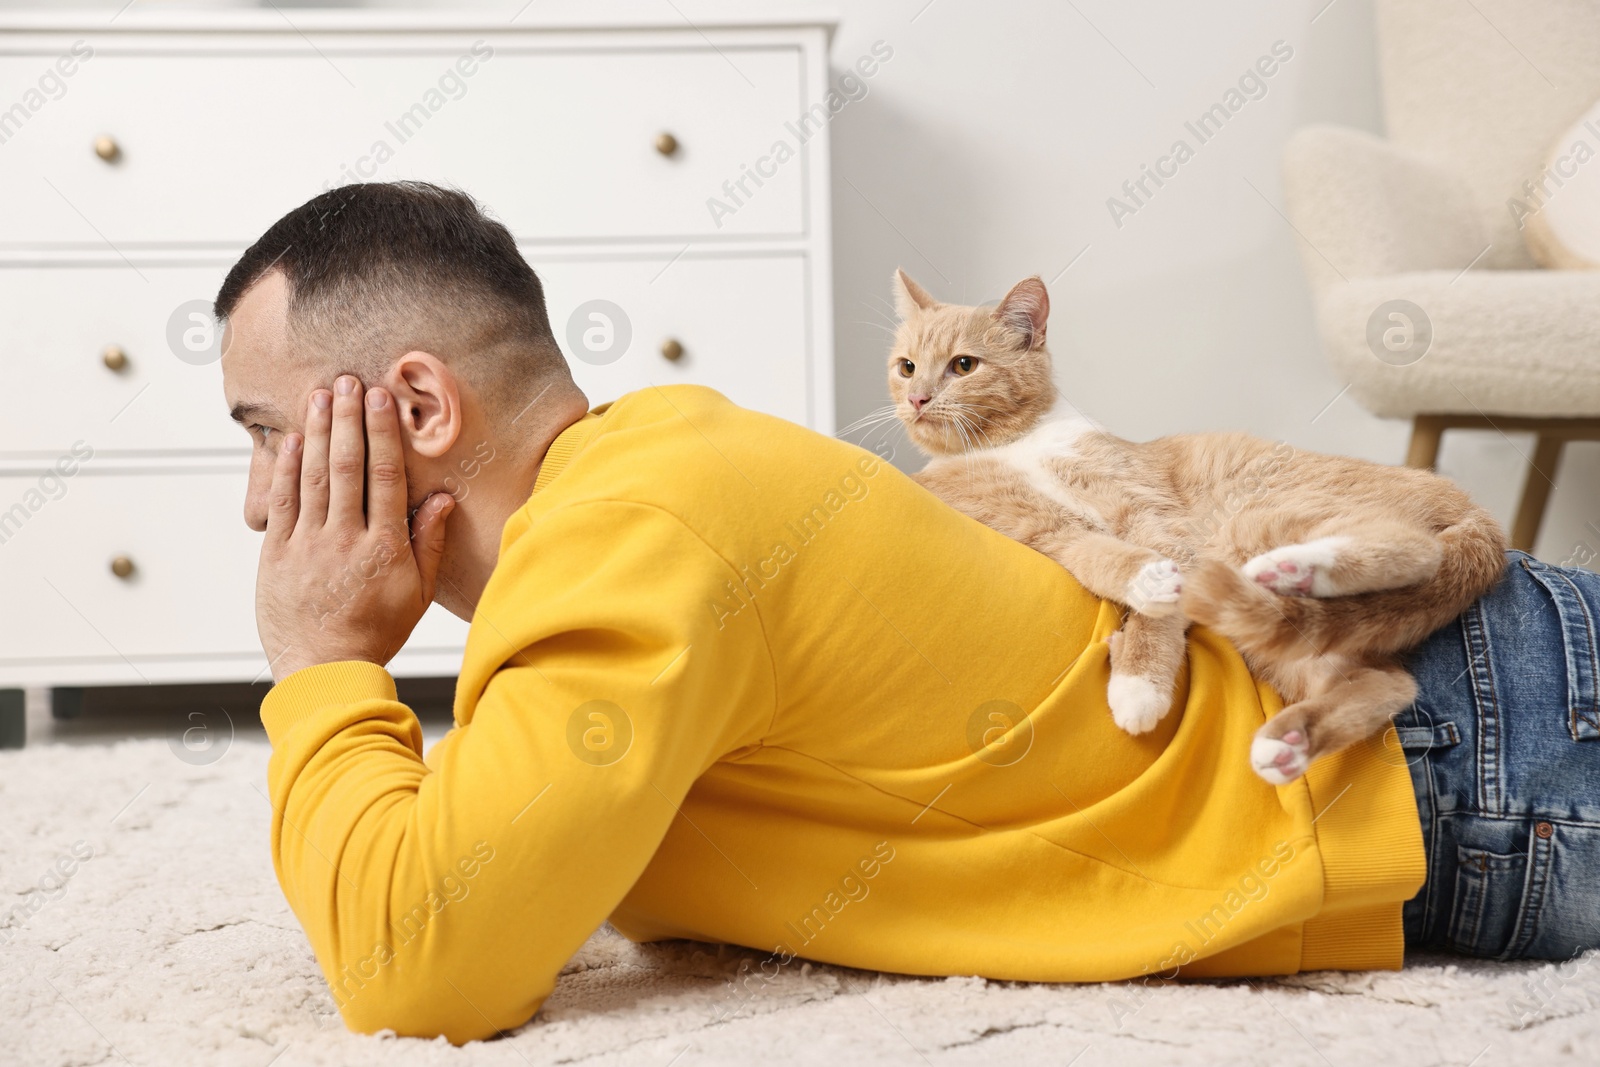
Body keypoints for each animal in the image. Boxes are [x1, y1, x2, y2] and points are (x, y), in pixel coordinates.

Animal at [883, 267, 1504, 783]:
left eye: (964, 365)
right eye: (906, 366)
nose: (918, 399)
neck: (1014, 447)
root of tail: (1475, 512)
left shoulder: (1148, 511)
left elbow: (1155, 607)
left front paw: (1139, 684)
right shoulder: (1029, 526)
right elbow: (1091, 552)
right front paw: (1143, 587)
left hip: (1257, 521)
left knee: (1416, 550)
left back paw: (1301, 567)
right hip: (1290, 642)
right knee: (1383, 683)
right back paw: (1289, 741)